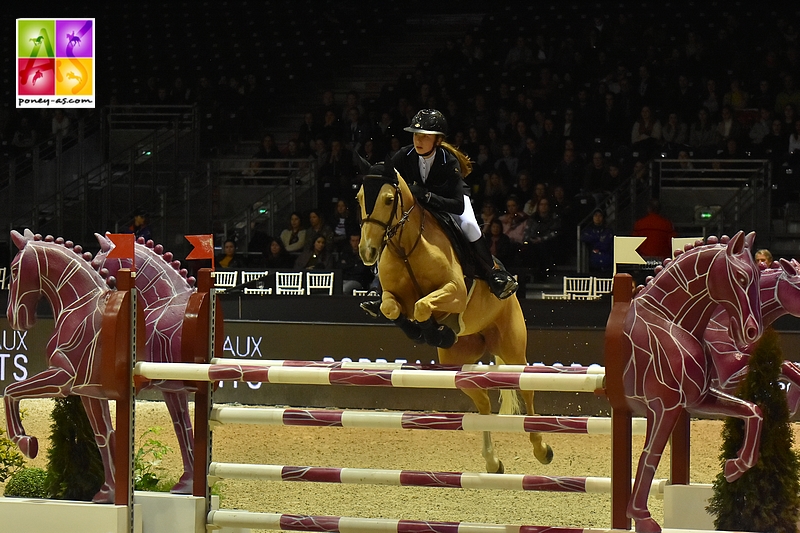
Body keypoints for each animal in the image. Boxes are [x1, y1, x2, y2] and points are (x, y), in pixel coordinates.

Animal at [5, 231, 117, 500]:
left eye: (13, 270)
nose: (12, 318)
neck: (80, 308)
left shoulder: (62, 379)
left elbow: (10, 392)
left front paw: (26, 442)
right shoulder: (90, 391)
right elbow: (104, 435)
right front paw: (108, 492)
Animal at [91, 235, 195, 492]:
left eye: (99, 264)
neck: (165, 300)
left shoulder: (172, 387)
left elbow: (183, 427)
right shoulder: (172, 388)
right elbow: (182, 427)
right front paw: (188, 481)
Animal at [358, 161, 552, 470]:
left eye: (388, 200)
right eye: (360, 198)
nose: (367, 252)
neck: (406, 248)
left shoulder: (456, 291)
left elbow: (422, 306)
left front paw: (433, 329)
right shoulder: (392, 296)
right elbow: (393, 308)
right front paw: (426, 331)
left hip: (512, 349)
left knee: (526, 389)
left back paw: (541, 449)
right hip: (457, 362)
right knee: (482, 401)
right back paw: (492, 462)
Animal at [624, 234, 764, 532]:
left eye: (759, 275)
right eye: (740, 277)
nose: (752, 331)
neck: (671, 322)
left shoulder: (697, 400)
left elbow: (753, 410)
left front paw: (735, 467)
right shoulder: (665, 406)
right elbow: (650, 455)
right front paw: (642, 517)